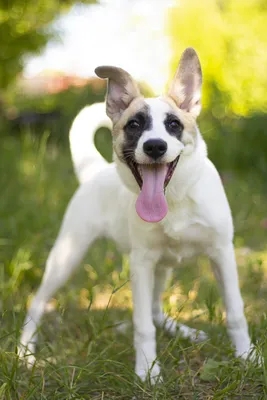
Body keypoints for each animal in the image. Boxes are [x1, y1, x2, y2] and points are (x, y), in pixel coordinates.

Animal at [18, 48, 253, 382]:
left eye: (173, 124)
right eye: (134, 125)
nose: (155, 147)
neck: (174, 199)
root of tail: (95, 171)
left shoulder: (222, 253)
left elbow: (235, 313)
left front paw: (248, 356)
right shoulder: (141, 263)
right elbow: (142, 326)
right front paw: (148, 371)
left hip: (163, 267)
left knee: (155, 308)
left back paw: (186, 332)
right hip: (67, 256)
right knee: (37, 303)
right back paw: (25, 352)